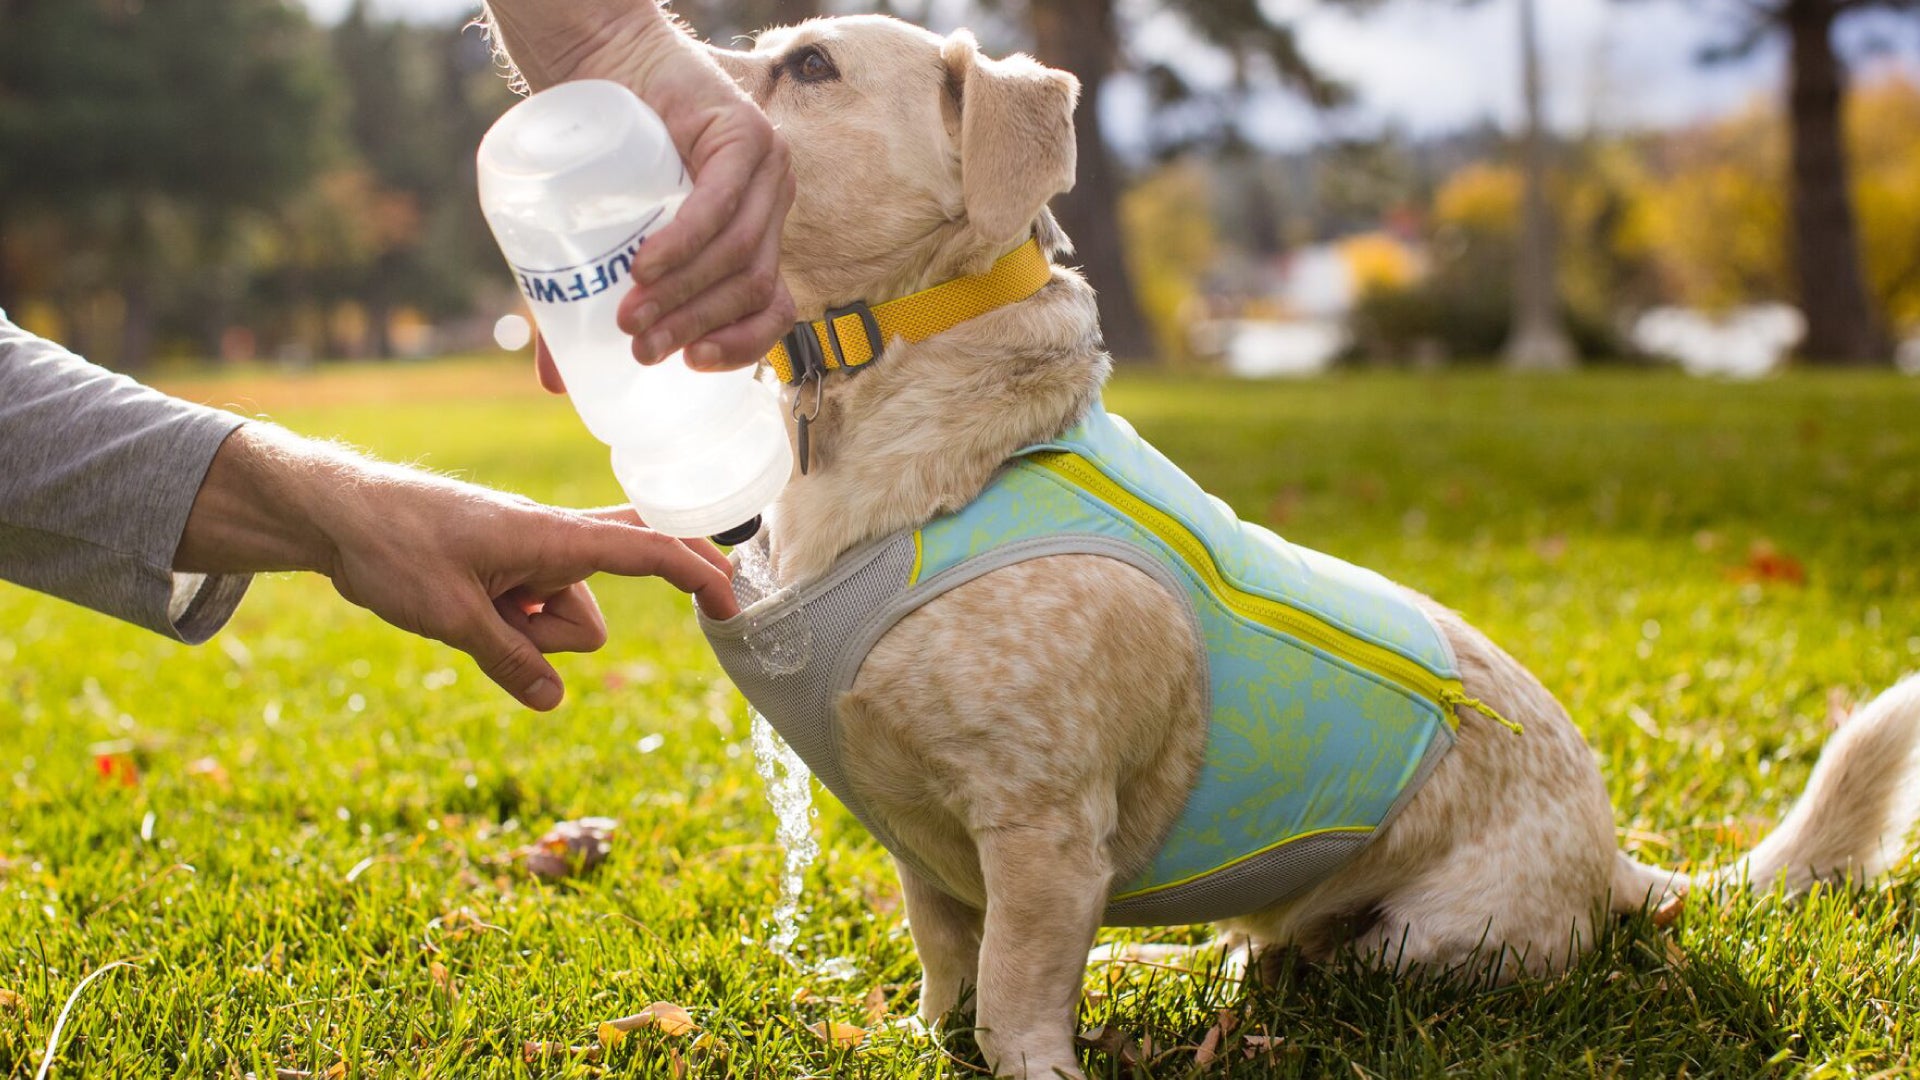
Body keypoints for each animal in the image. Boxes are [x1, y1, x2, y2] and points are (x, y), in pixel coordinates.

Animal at [702, 18, 1920, 1076]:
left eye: (810, 65)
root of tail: (1614, 861)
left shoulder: (1042, 834)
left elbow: (1012, 995)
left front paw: (1034, 1063)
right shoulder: (930, 858)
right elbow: (950, 977)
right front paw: (926, 1040)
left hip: (1420, 945)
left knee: (1306, 968)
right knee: (1246, 950)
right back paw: (1150, 960)